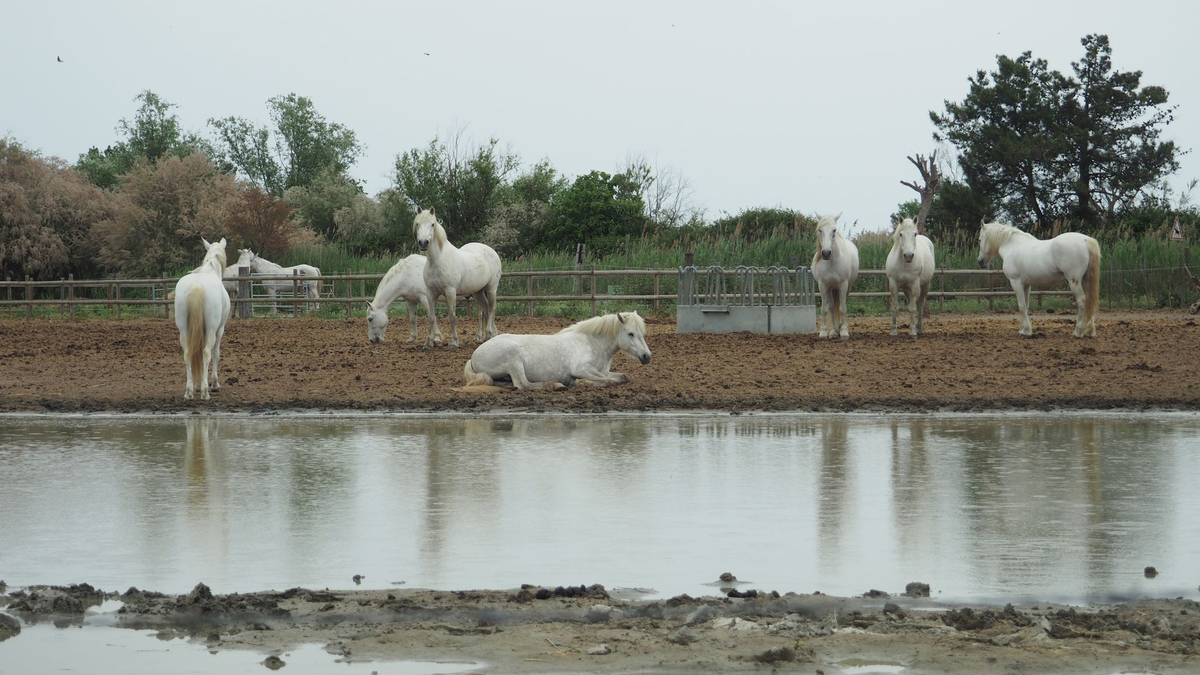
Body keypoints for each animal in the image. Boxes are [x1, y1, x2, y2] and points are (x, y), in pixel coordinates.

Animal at [174, 237, 231, 400]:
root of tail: (197, 286)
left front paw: (197, 385)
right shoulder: (220, 329)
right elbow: (216, 354)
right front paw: (214, 384)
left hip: (184, 330)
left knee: (188, 354)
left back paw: (189, 391)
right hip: (212, 330)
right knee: (206, 353)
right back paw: (206, 392)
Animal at [413, 208, 502, 349]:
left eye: (432, 224)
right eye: (417, 224)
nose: (423, 243)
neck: (438, 260)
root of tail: (492, 251)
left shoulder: (450, 292)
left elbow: (452, 316)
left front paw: (454, 342)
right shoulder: (430, 293)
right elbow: (431, 317)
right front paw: (428, 343)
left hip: (491, 288)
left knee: (492, 308)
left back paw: (488, 334)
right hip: (478, 292)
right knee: (486, 309)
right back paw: (489, 337)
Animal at [463, 312, 651, 390]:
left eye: (642, 333)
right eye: (630, 333)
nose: (647, 356)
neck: (591, 343)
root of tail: (474, 357)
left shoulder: (604, 371)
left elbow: (621, 377)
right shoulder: (582, 369)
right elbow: (607, 381)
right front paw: (579, 383)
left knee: (507, 384)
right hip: (514, 360)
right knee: (523, 384)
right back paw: (556, 385)